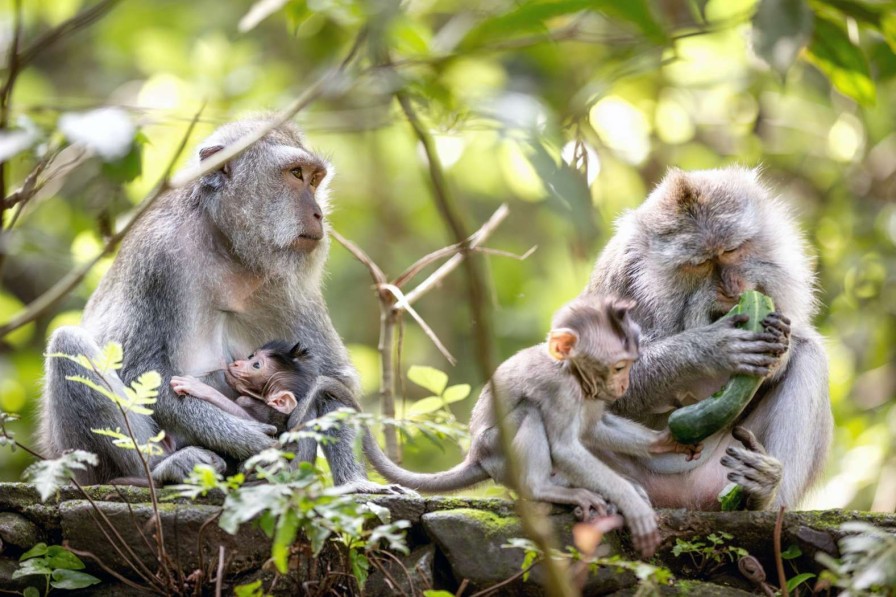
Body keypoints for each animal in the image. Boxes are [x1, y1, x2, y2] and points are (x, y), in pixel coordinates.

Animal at [362, 298, 700, 560]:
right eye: (619, 366)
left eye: (630, 364)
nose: (625, 384)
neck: (572, 373)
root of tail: (475, 456)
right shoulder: (560, 389)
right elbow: (565, 447)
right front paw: (632, 504)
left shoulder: (593, 394)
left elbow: (594, 428)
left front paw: (664, 443)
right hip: (497, 451)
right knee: (530, 413)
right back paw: (544, 489)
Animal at [588, 165, 832, 510]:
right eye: (700, 263)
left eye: (730, 250)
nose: (731, 289)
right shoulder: (619, 281)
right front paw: (711, 349)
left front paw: (780, 346)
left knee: (810, 355)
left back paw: (763, 496)